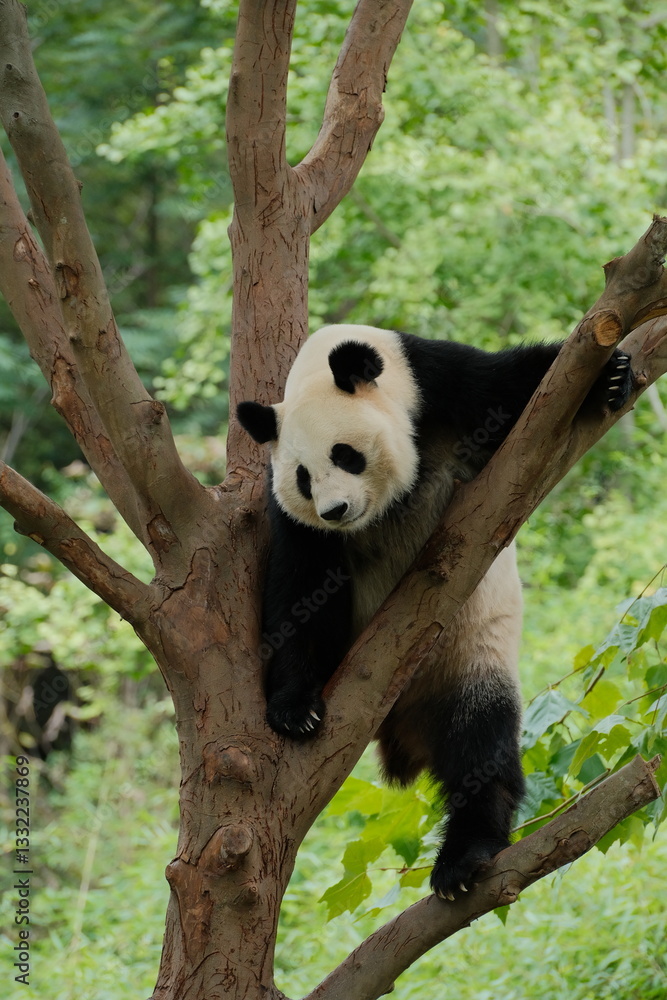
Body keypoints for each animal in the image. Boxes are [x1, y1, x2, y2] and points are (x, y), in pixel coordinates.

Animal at [237, 324, 633, 900]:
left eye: (345, 455)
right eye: (304, 477)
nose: (336, 511)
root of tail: (404, 727)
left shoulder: (436, 384)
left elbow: (513, 384)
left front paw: (613, 374)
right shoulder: (294, 521)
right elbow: (301, 593)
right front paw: (295, 708)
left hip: (470, 657)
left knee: (481, 744)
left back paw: (464, 859)